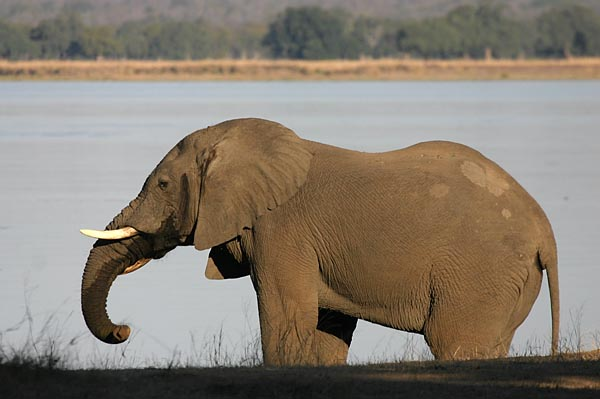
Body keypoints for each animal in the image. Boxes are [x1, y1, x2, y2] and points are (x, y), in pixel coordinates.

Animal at [79, 118, 556, 366]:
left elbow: (285, 312)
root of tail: (545, 232)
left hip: (479, 273)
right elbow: (328, 322)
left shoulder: (281, 229)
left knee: (454, 341)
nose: (123, 330)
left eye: (161, 184)